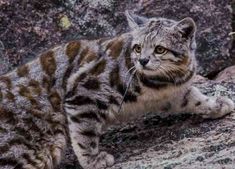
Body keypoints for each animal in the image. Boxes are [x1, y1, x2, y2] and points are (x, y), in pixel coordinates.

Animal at [0, 10, 233, 169]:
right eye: (138, 47)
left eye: (160, 49)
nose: (143, 60)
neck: (163, 81)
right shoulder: (83, 94)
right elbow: (84, 133)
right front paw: (93, 160)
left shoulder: (174, 94)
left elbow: (196, 98)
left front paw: (217, 105)